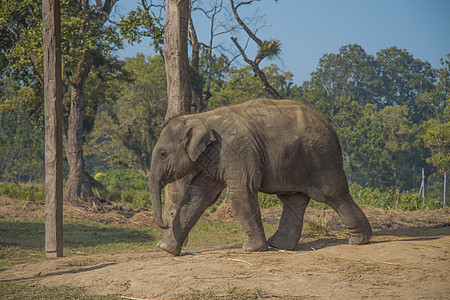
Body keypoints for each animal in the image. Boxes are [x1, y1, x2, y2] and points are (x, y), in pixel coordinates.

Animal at [149, 98, 372, 255]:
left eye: (163, 154)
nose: (165, 222)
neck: (201, 117)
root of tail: (330, 125)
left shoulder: (235, 151)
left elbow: (241, 192)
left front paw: (251, 250)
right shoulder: (212, 159)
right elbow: (197, 196)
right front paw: (166, 249)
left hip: (321, 157)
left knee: (332, 194)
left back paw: (359, 240)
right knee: (293, 199)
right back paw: (278, 245)